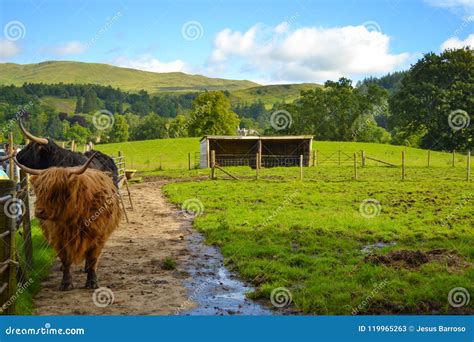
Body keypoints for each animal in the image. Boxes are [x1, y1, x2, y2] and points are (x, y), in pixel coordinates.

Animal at [14, 155, 120, 292]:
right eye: (39, 190)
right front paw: (66, 283)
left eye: (56, 191)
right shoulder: (59, 238)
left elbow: (92, 258)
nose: (39, 211)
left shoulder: (98, 235)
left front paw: (92, 282)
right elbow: (65, 260)